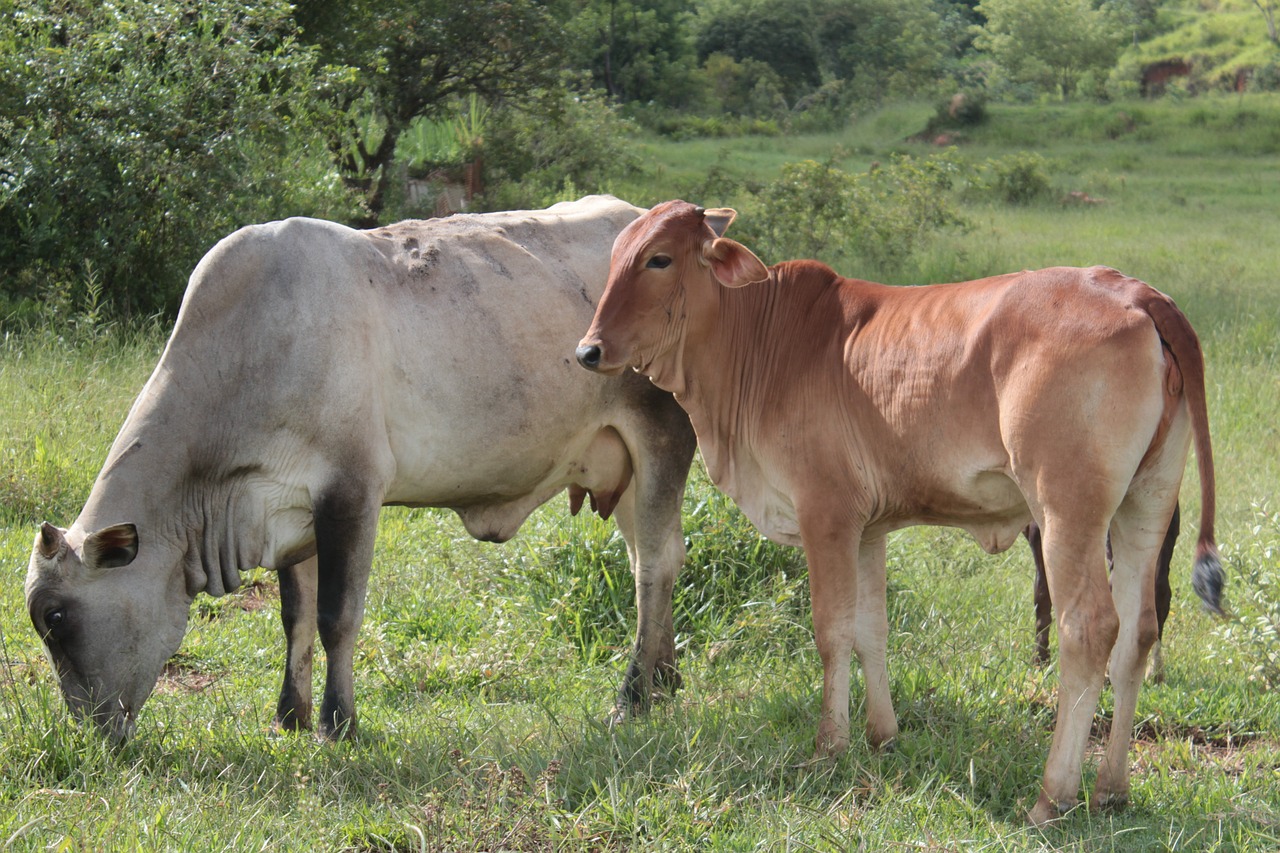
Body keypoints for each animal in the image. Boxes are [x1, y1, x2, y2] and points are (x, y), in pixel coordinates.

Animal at [25, 196, 697, 744]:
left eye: (55, 618)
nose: (92, 735)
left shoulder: (351, 492)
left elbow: (336, 617)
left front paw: (338, 723)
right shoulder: (288, 509)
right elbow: (294, 617)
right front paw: (289, 715)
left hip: (661, 440)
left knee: (655, 565)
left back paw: (633, 697)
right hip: (623, 468)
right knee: (651, 560)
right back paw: (665, 679)